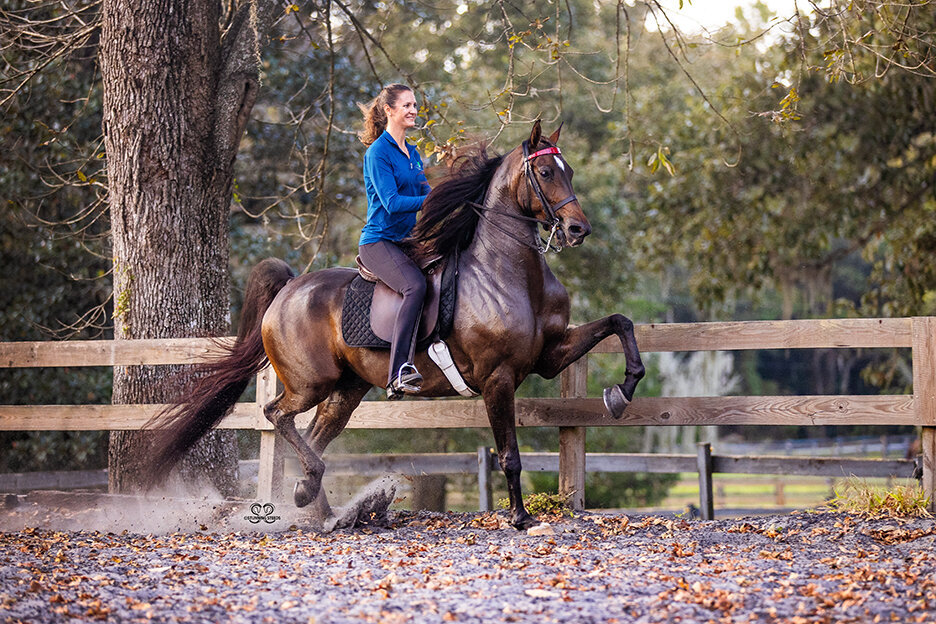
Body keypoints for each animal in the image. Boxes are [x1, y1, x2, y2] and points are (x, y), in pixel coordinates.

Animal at [150, 120, 648, 528]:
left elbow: (621, 323)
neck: (511, 272)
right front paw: (521, 518)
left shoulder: (550, 355)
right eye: (545, 173)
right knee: (278, 416)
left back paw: (322, 508)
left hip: (345, 391)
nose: (579, 229)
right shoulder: (498, 377)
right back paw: (313, 491)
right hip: (310, 383)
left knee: (313, 436)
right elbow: (509, 454)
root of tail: (289, 289)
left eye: (569, 171)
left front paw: (620, 394)